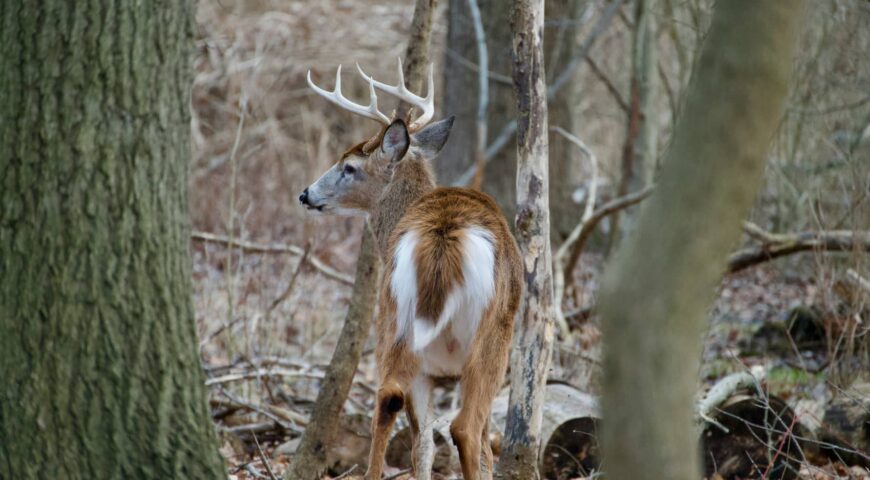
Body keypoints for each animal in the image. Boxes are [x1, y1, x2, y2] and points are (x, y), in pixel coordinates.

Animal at [300, 59, 522, 480]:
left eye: (348, 166)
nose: (305, 194)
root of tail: (441, 237)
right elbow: (475, 444)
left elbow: (423, 442)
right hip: (492, 337)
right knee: (466, 428)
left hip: (394, 318)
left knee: (389, 401)